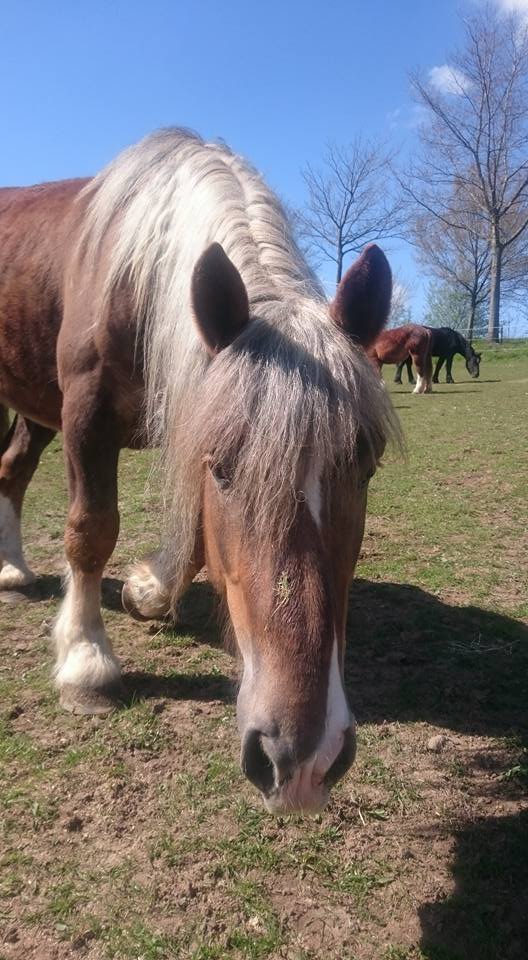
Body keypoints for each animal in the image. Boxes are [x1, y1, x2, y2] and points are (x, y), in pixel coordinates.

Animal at [0, 131, 400, 812]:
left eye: (365, 465)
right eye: (226, 470)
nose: (301, 761)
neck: (137, 270)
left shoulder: (189, 406)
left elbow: (191, 539)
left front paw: (147, 592)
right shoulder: (86, 411)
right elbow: (91, 529)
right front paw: (86, 661)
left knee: (12, 469)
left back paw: (13, 569)